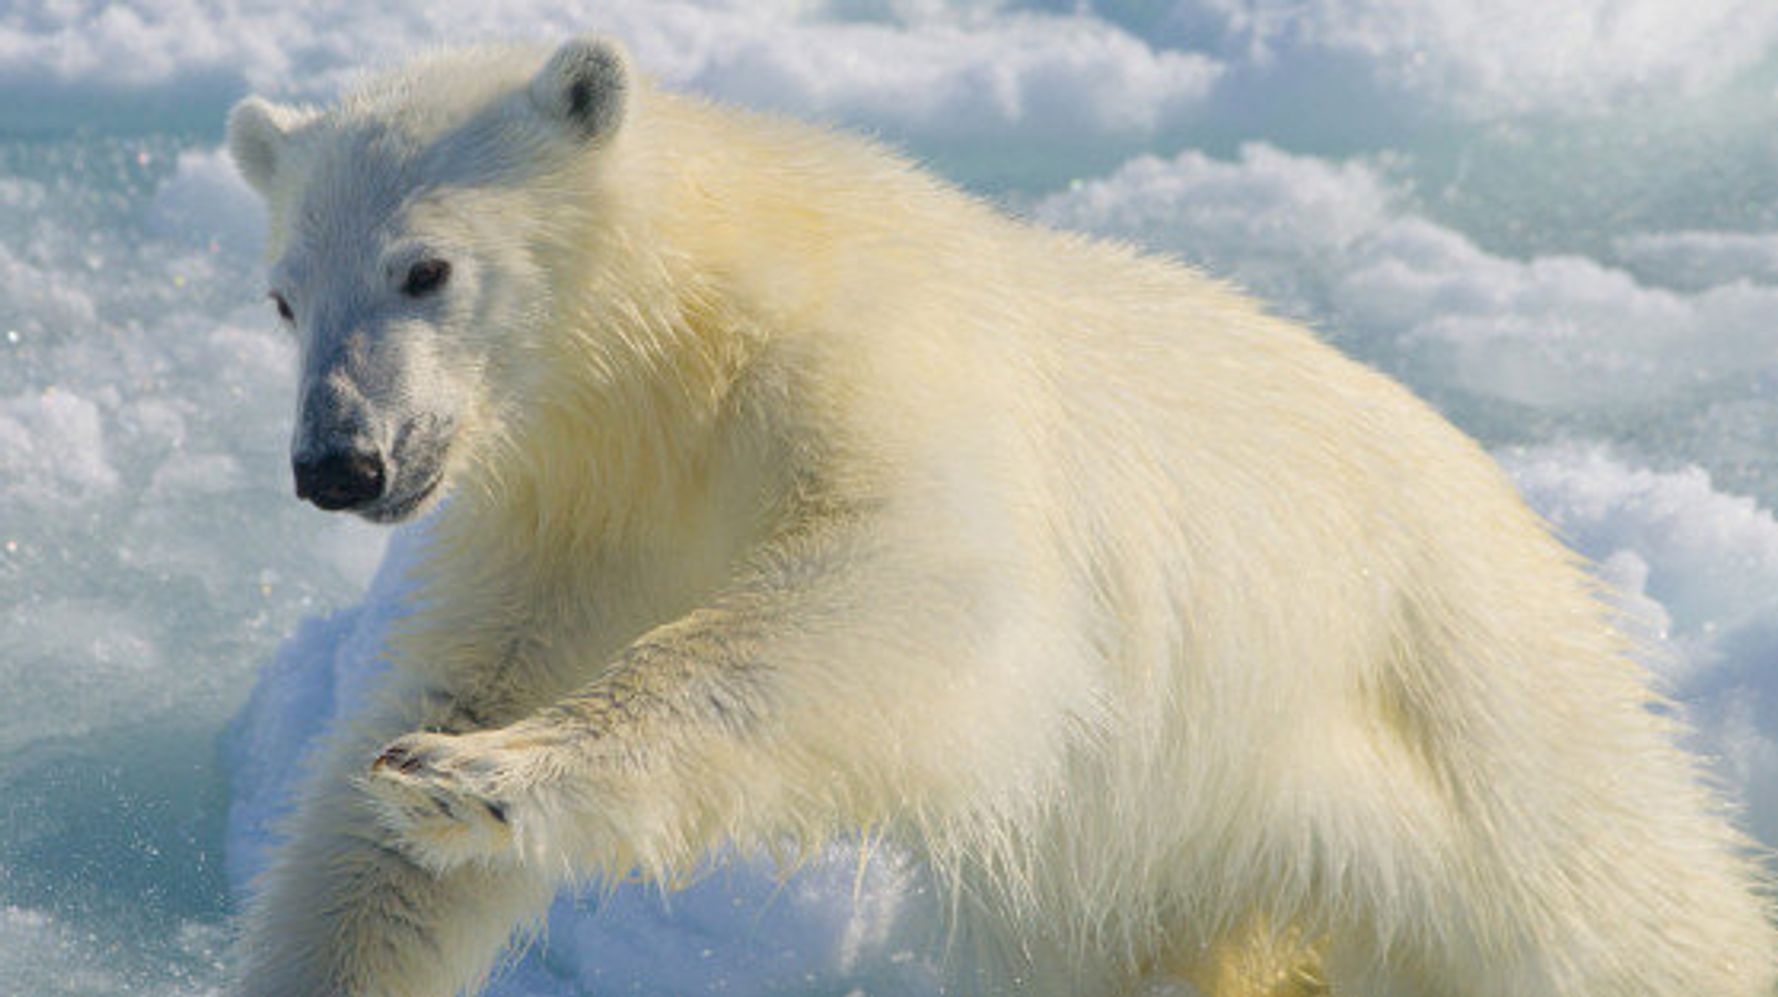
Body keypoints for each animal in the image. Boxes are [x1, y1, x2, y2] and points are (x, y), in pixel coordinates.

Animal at [229, 35, 1770, 995]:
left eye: (425, 267)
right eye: (285, 295)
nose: (339, 462)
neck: (684, 351)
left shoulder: (866, 369)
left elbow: (919, 605)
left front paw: (482, 774)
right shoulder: (575, 499)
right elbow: (440, 715)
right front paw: (416, 787)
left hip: (1465, 700)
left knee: (1608, 909)